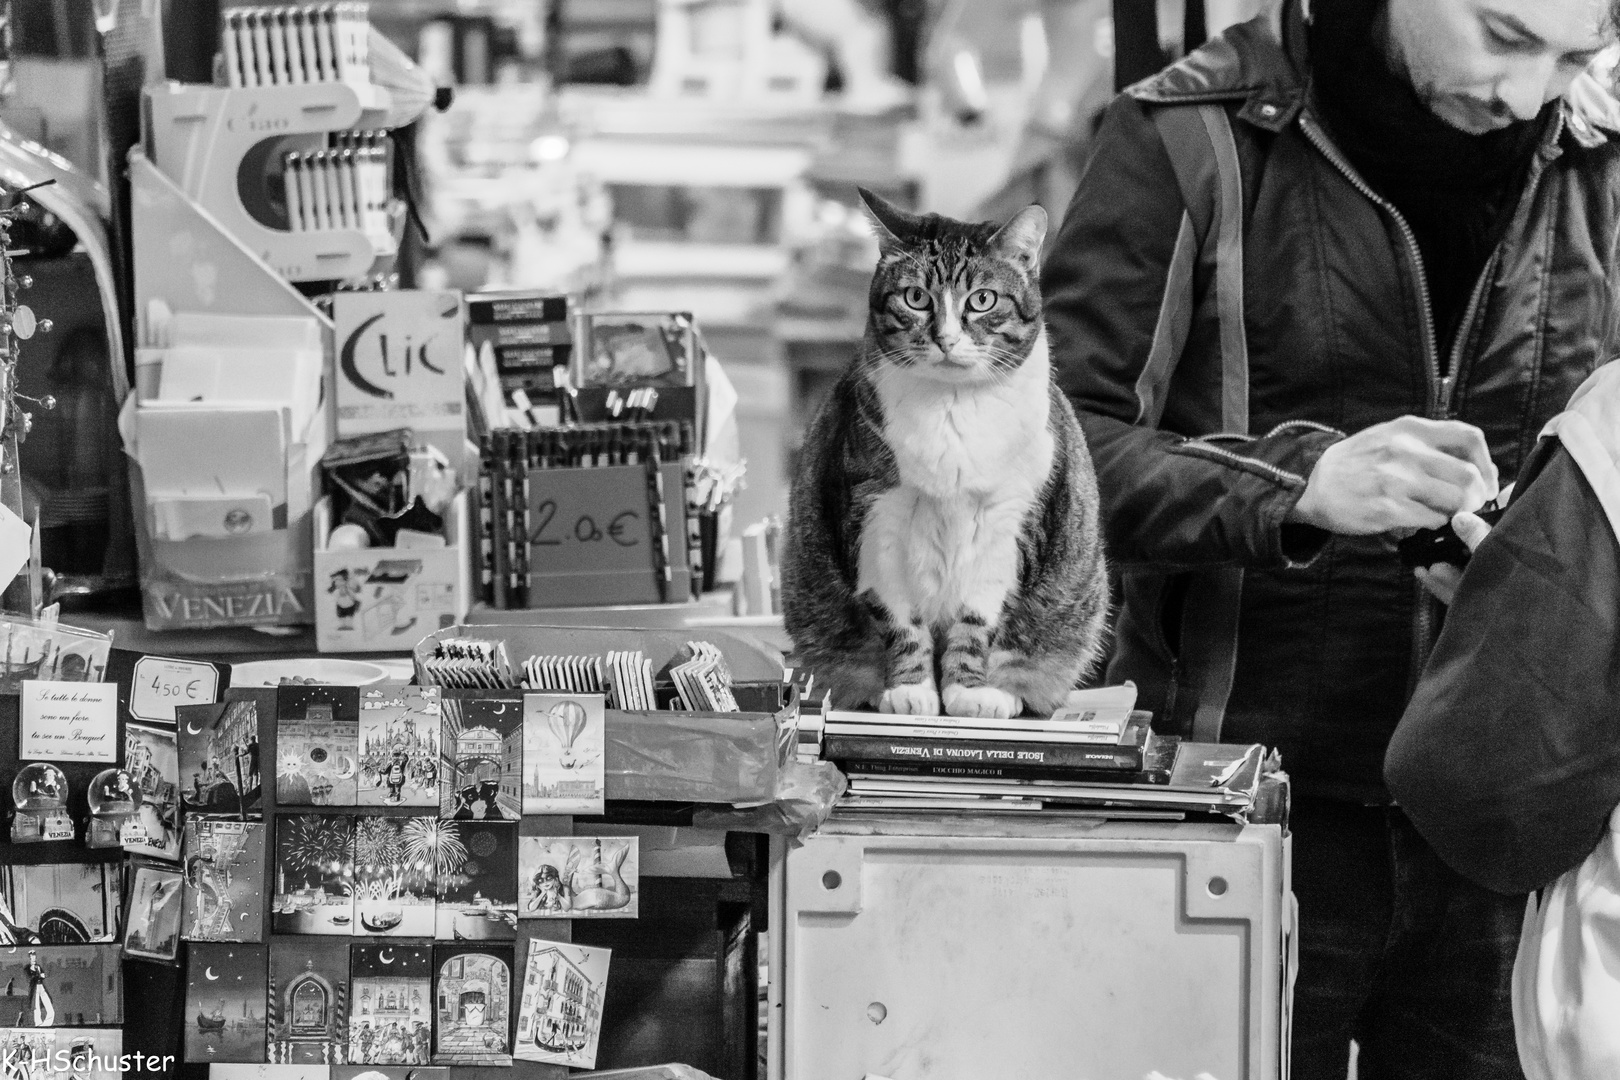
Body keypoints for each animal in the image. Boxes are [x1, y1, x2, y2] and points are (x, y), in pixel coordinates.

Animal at [777, 191, 1108, 722]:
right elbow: (898, 619)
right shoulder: (874, 515)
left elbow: (977, 621)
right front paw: (911, 690)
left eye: (983, 300)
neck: (952, 412)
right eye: (915, 298)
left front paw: (968, 692)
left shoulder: (1010, 524)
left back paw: (1005, 694)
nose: (946, 338)